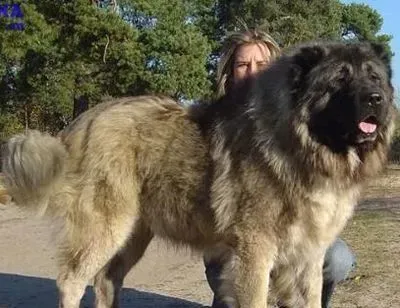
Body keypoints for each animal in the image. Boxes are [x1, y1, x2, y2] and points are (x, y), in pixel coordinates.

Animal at [0, 41, 396, 308]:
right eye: (340, 80)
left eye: (373, 77)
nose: (376, 98)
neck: (301, 146)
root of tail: (85, 120)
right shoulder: (255, 251)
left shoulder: (308, 256)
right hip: (105, 227)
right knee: (71, 280)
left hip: (133, 234)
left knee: (106, 281)